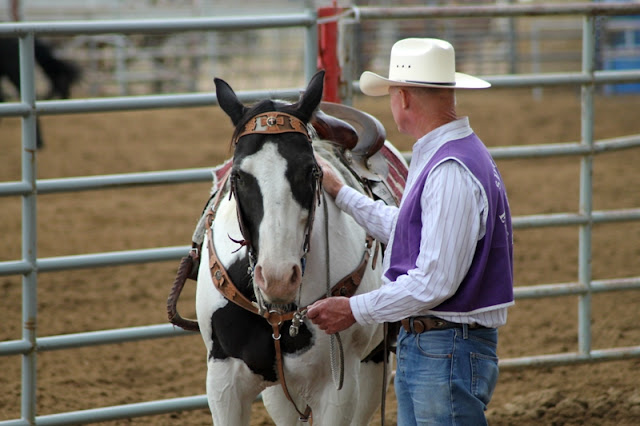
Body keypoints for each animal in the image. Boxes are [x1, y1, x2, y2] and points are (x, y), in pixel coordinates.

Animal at [180, 70, 398, 422]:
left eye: (311, 170)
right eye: (238, 176)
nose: (278, 278)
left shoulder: (338, 389)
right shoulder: (223, 380)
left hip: (372, 363)